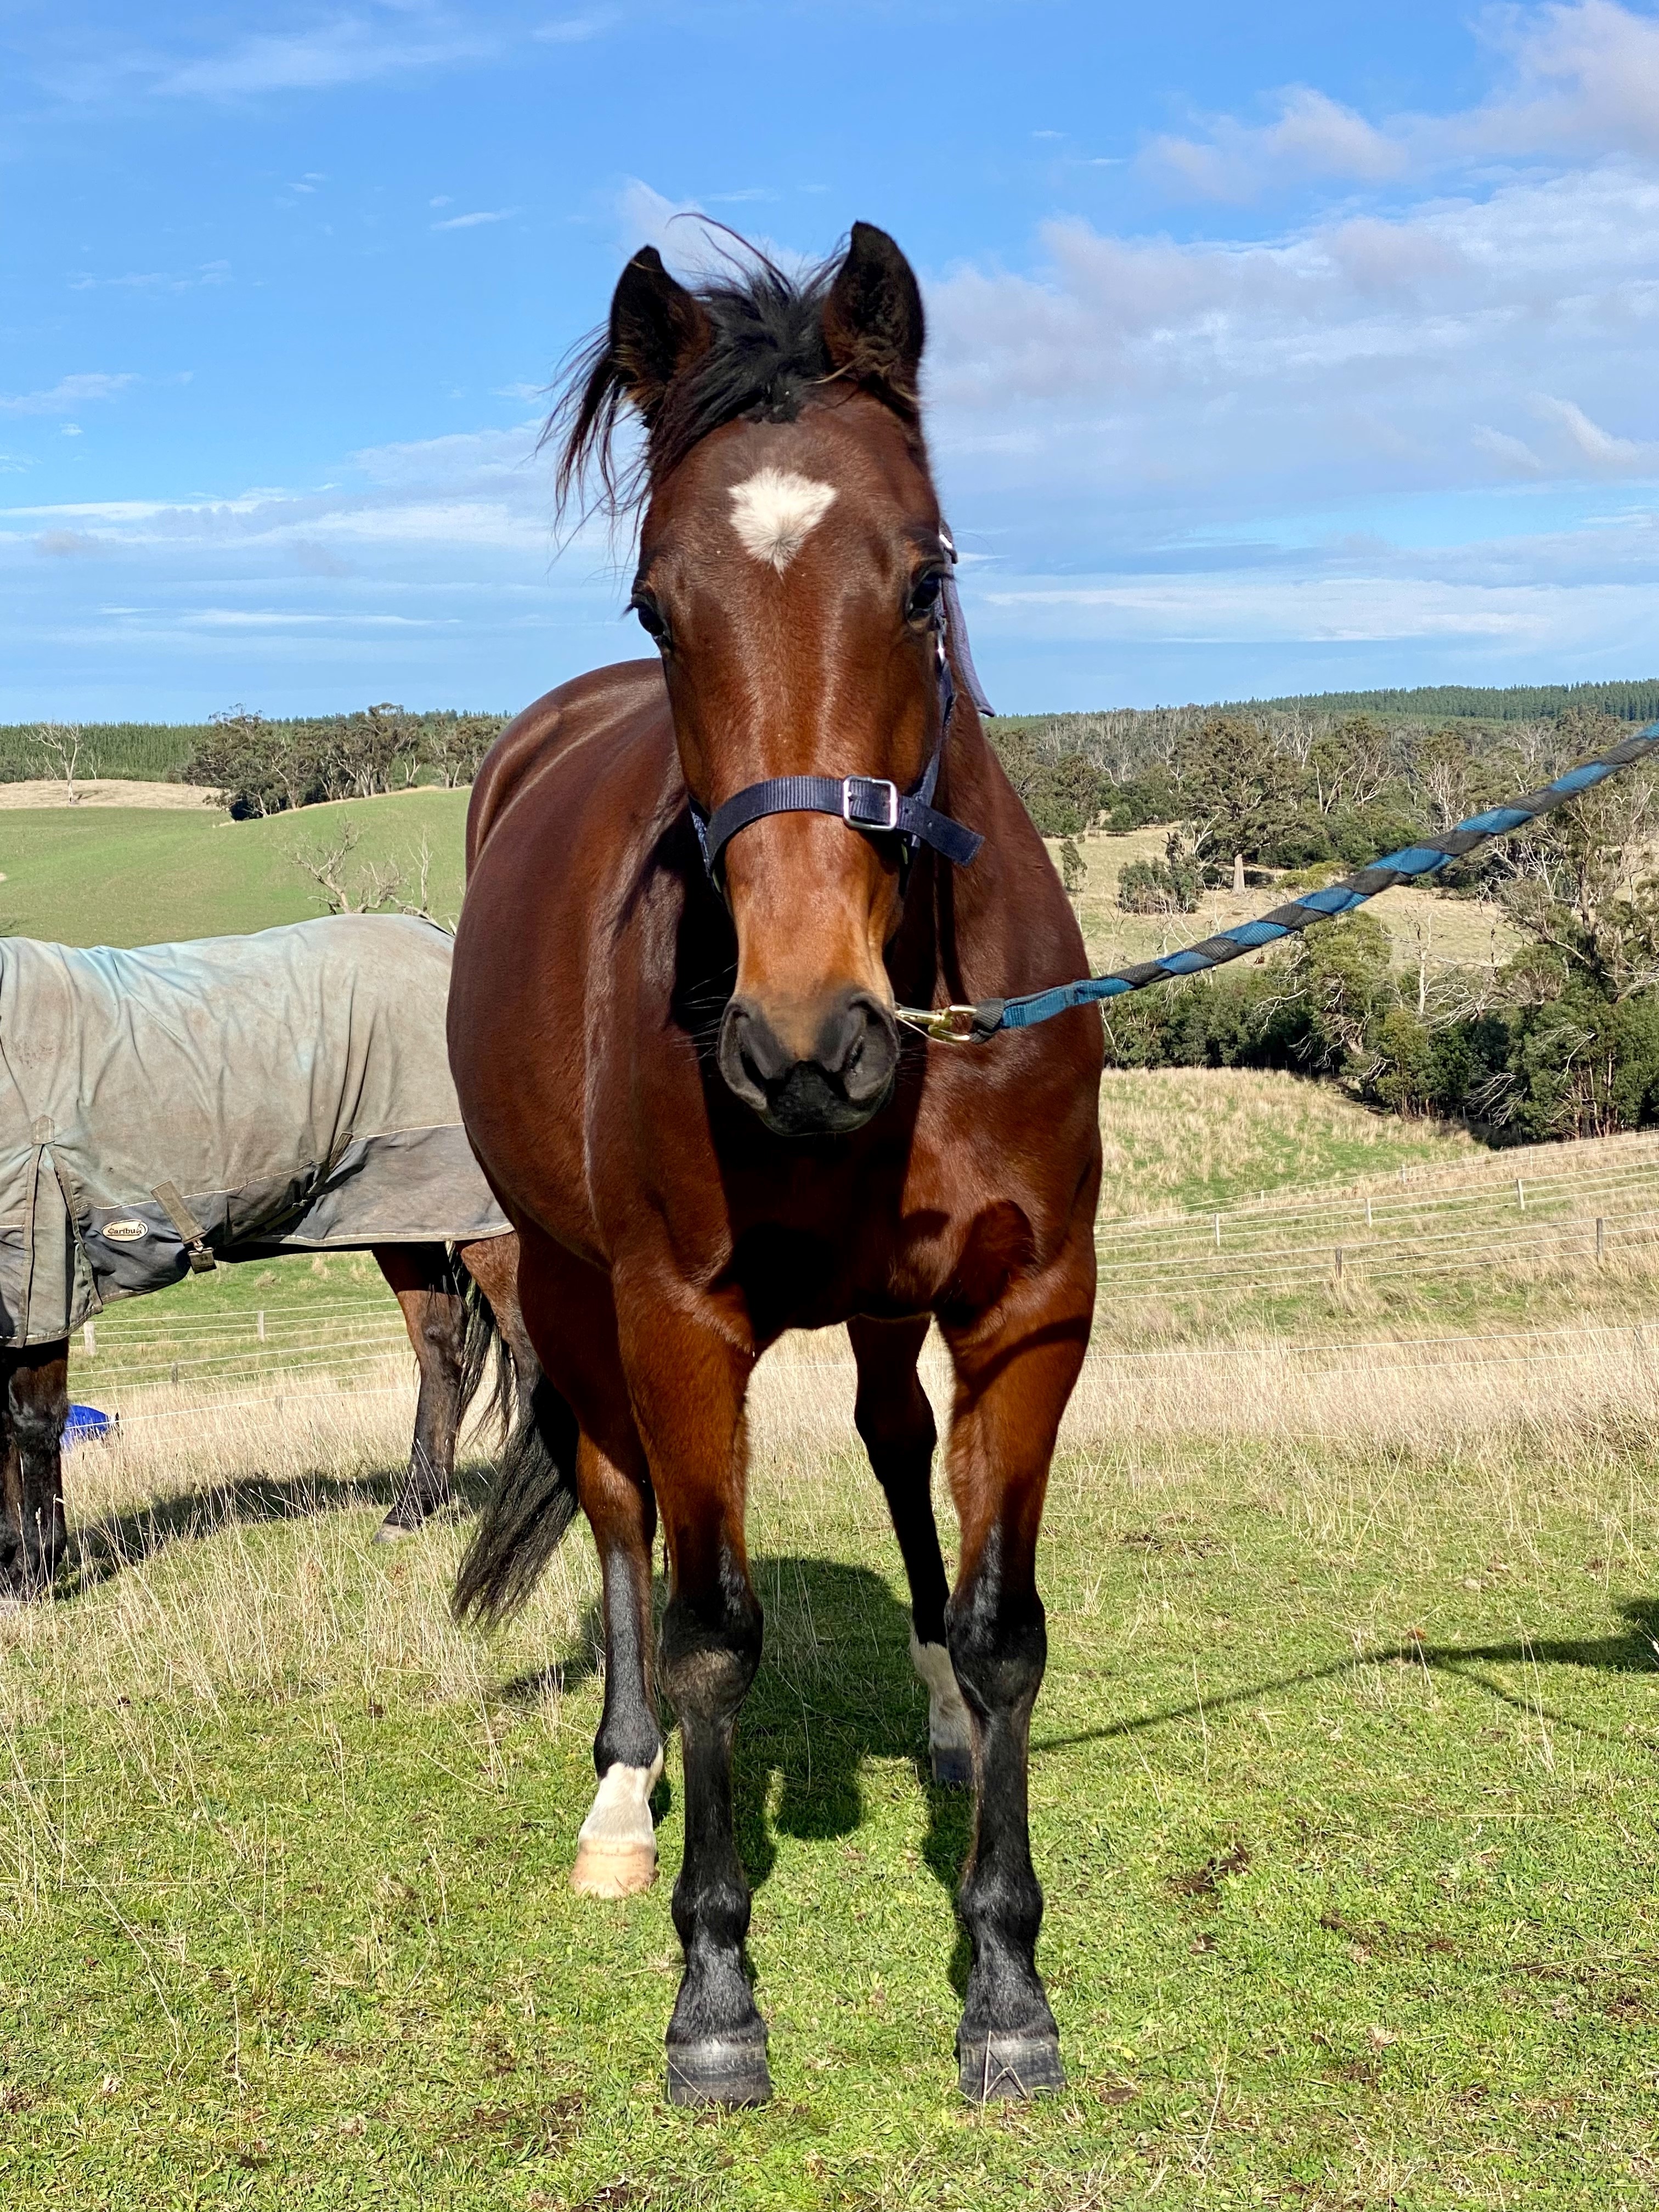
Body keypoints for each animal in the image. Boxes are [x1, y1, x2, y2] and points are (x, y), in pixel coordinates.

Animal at [0, 916, 539, 1603]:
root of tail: (441, 936)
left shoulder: (43, 1270)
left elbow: (33, 1422)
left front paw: (35, 1572)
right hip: (402, 1214)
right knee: (441, 1350)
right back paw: (410, 1511)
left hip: (483, 1218)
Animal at [447, 223, 1102, 2107]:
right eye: (658, 604)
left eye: (921, 580)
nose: (805, 1043)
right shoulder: (677, 1320)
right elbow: (708, 1632)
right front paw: (717, 1993)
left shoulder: (1032, 1309)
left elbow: (1003, 1623)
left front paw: (1004, 1984)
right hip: (564, 1290)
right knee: (617, 1517)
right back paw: (619, 1801)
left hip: (887, 1309)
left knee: (894, 1450)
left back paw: (937, 1723)